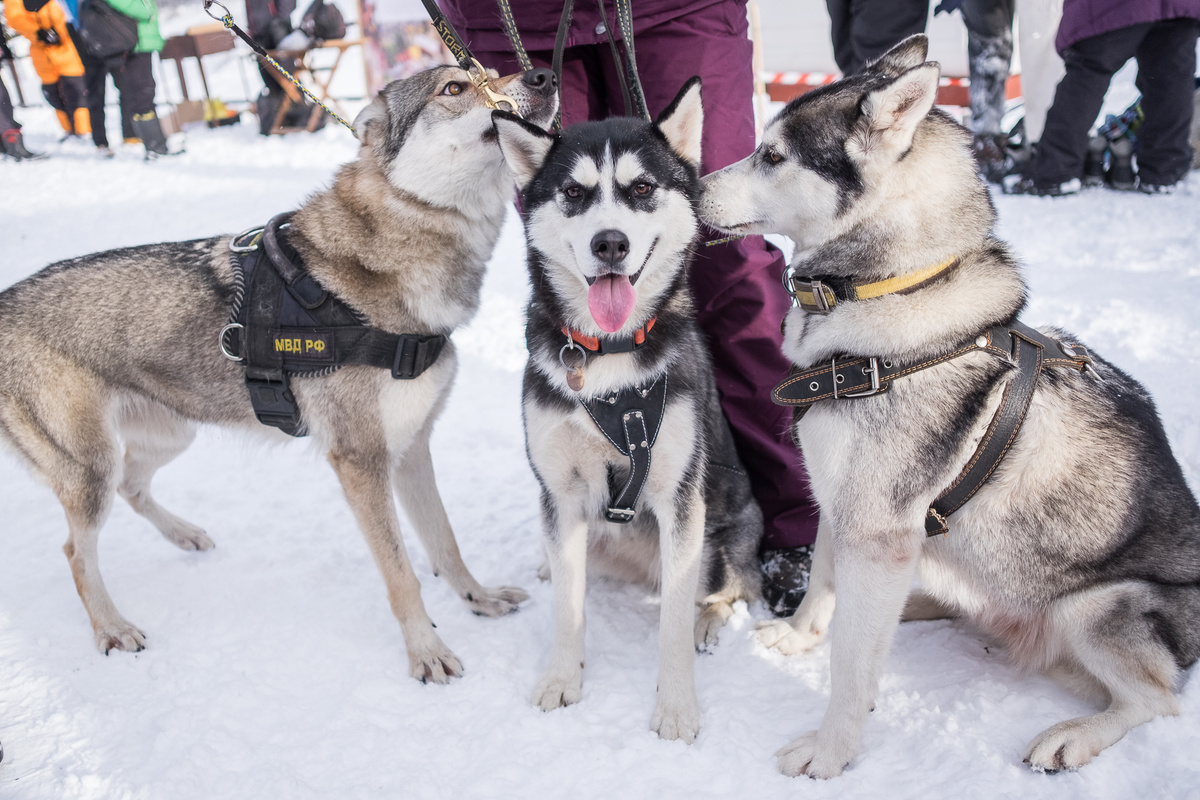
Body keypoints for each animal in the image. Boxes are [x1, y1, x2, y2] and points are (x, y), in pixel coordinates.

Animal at [0, 65, 559, 686]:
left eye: (488, 72)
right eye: (455, 88)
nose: (543, 75)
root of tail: (3, 302)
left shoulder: (412, 447)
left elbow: (445, 544)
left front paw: (479, 601)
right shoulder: (361, 461)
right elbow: (402, 576)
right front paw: (426, 654)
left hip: (170, 435)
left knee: (132, 487)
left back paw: (185, 535)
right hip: (92, 470)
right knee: (78, 551)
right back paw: (112, 628)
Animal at [492, 77, 763, 743]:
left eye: (641, 189)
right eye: (573, 192)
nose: (609, 242)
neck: (609, 358)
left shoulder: (679, 499)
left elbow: (671, 624)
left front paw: (677, 707)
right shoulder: (561, 494)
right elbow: (568, 607)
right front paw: (562, 679)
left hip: (722, 538)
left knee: (726, 589)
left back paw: (708, 621)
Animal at [700, 35, 1200, 777]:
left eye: (773, 155)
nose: (687, 187)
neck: (889, 292)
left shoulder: (876, 532)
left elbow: (851, 665)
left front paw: (830, 751)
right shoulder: (844, 508)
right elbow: (824, 583)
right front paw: (800, 634)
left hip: (1098, 605)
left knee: (1156, 701)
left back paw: (1074, 735)